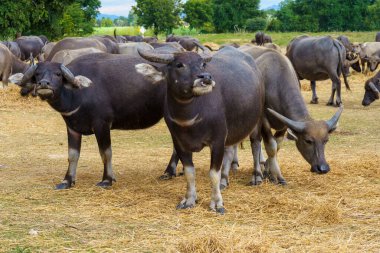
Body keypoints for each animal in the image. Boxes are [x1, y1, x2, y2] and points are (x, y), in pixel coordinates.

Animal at [137, 44, 264, 212]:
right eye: (179, 65)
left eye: (202, 64)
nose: (206, 78)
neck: (190, 117)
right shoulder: (179, 143)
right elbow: (190, 172)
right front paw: (189, 199)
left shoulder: (217, 140)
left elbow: (213, 173)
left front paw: (217, 203)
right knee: (230, 151)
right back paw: (225, 180)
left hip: (257, 121)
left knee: (256, 145)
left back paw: (256, 176)